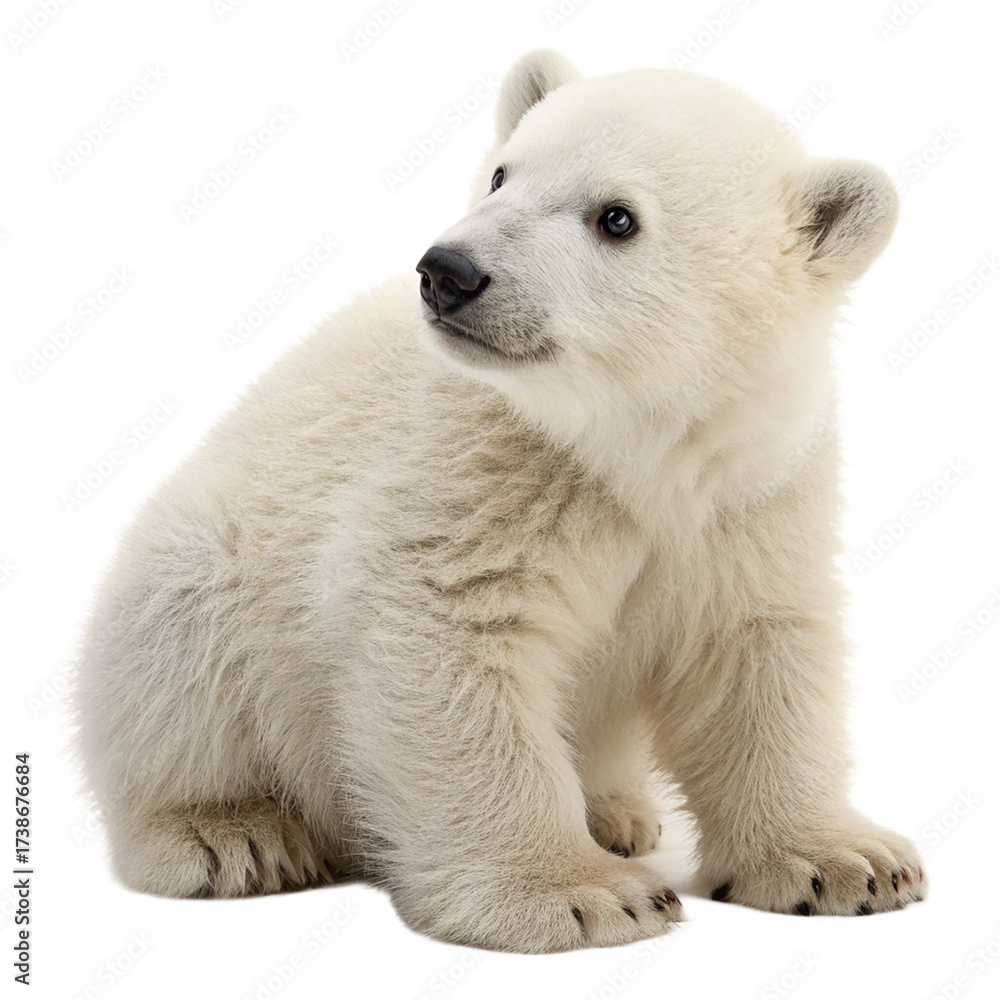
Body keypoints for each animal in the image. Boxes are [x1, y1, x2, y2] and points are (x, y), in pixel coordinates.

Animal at [73, 49, 925, 952]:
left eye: (616, 218)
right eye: (501, 173)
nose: (449, 272)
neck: (630, 452)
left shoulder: (750, 496)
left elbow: (754, 655)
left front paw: (851, 864)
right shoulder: (482, 472)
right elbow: (452, 644)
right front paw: (583, 896)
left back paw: (617, 812)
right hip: (209, 564)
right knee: (181, 643)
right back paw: (232, 833)